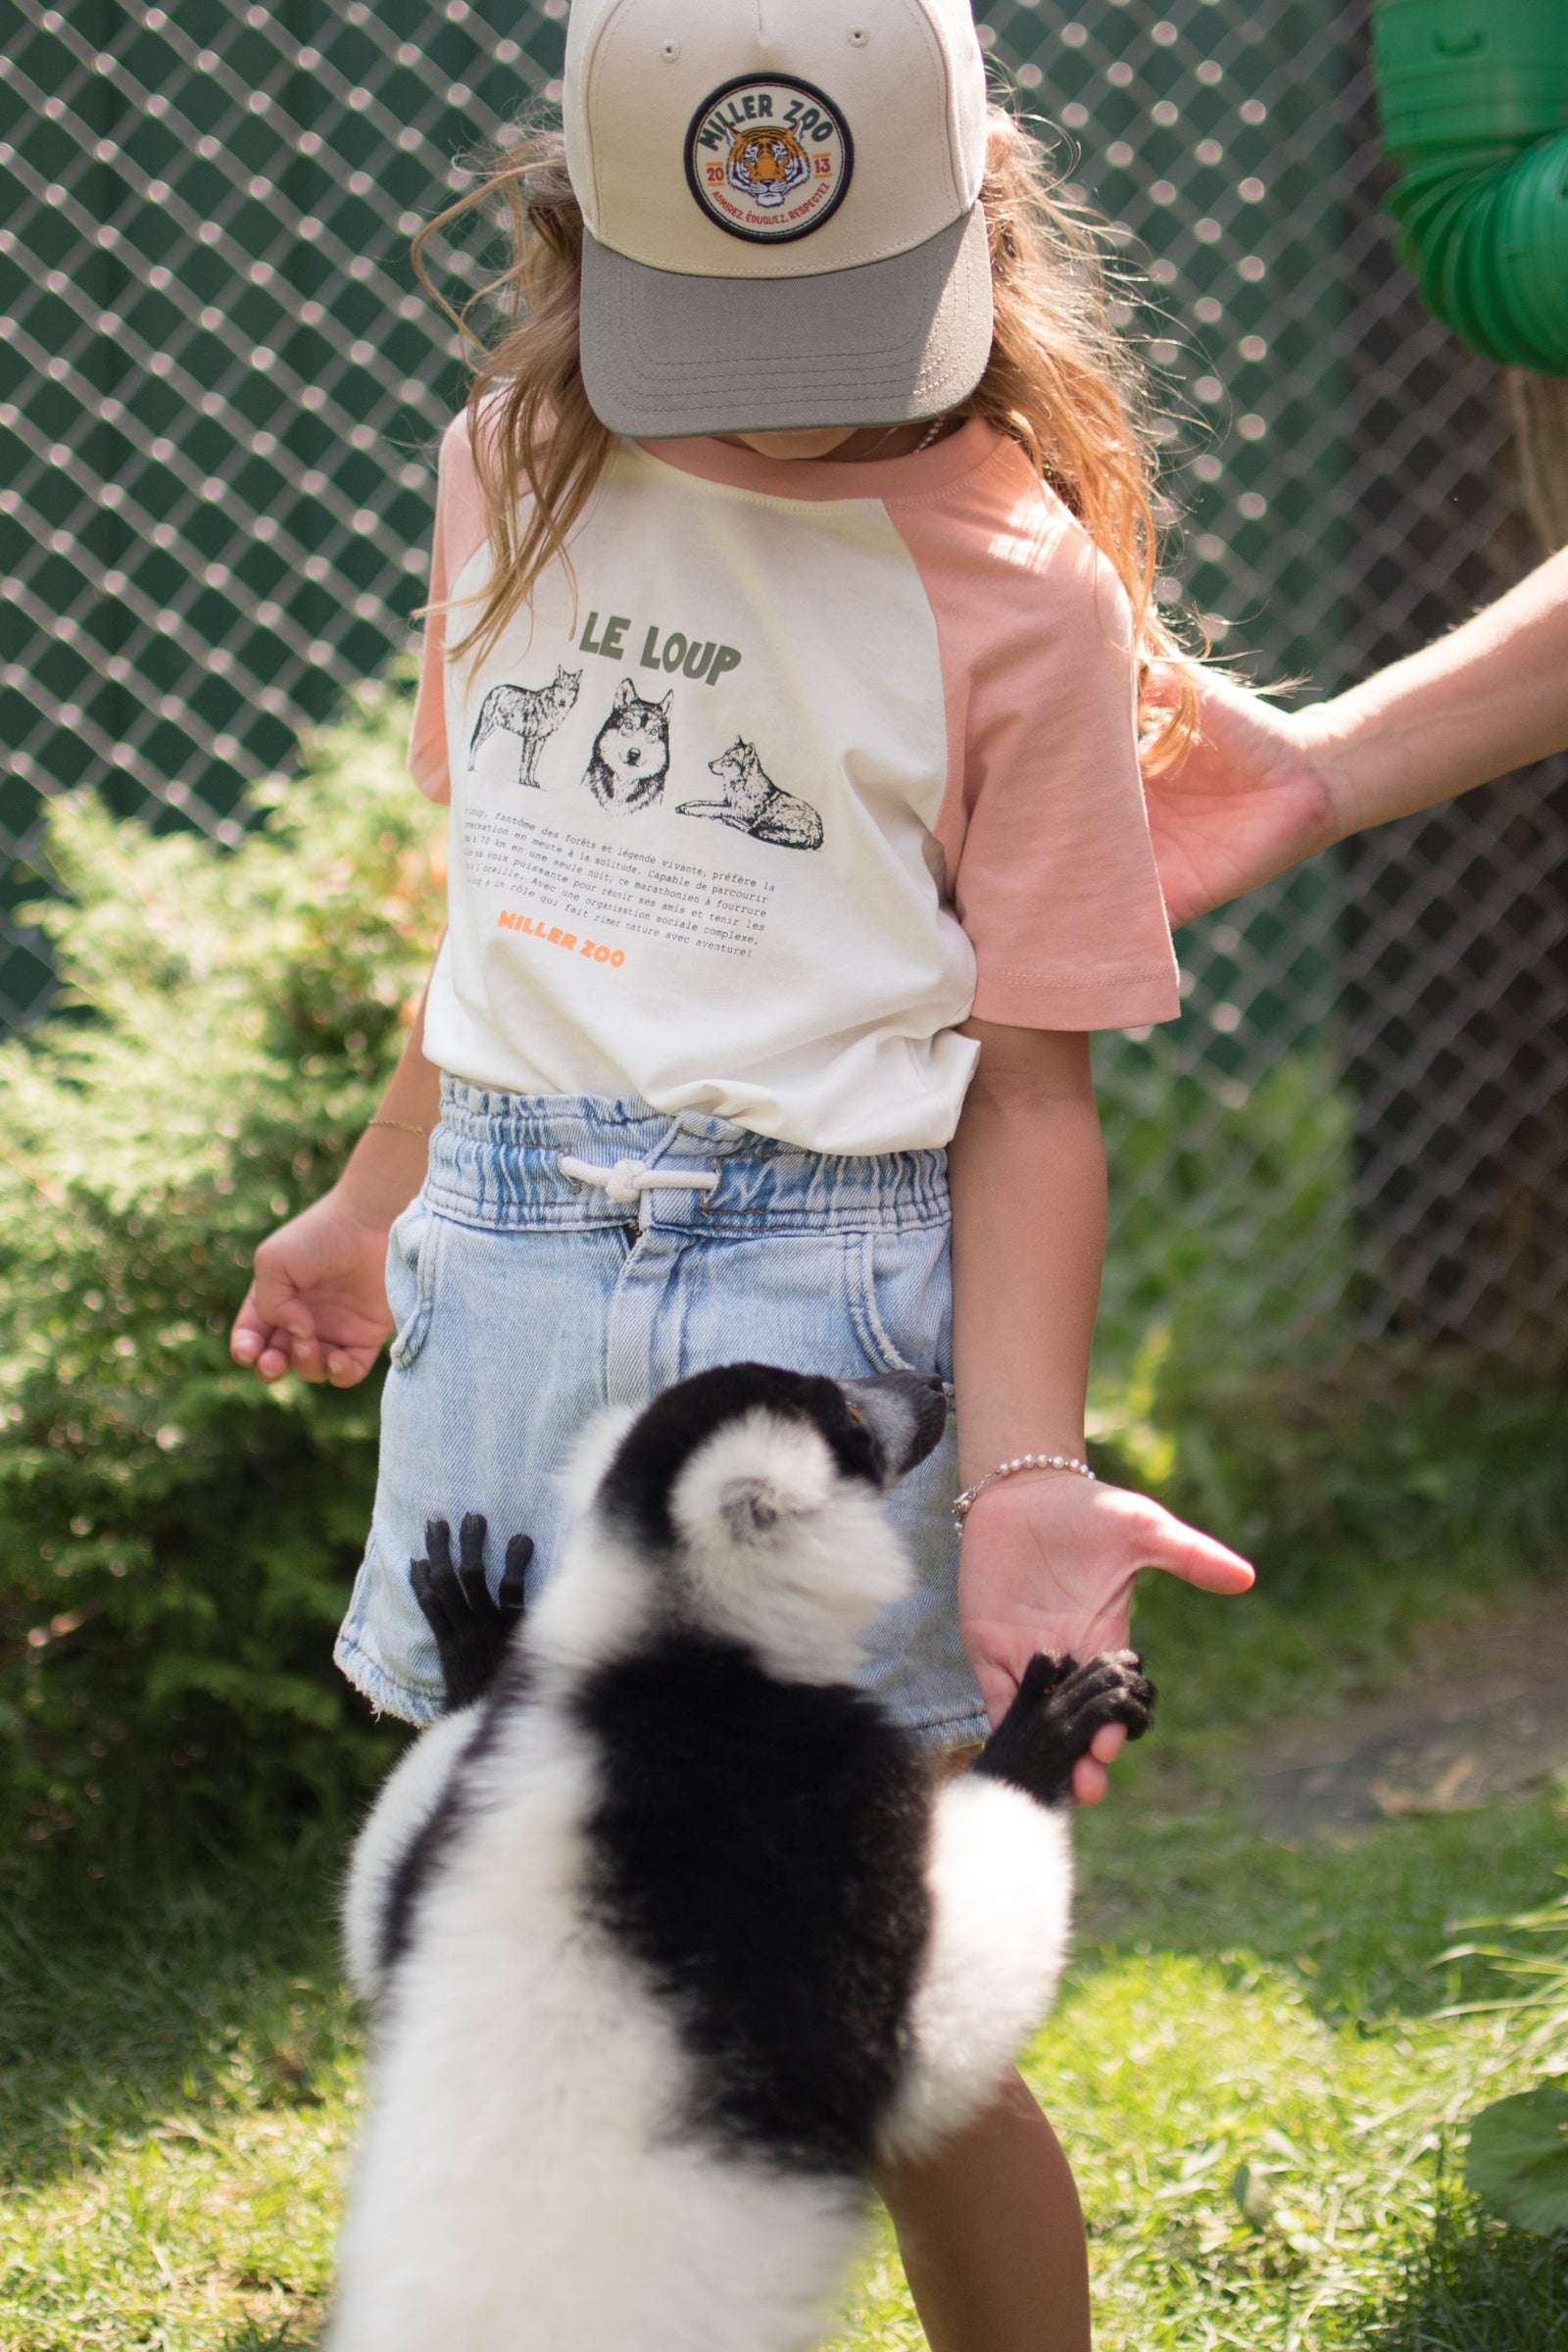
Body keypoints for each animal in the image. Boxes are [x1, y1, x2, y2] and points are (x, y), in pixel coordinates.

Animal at [331, 1363, 1154, 2352]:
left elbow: (376, 1911)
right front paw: (1047, 1736)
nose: (930, 1382)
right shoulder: (825, 1814)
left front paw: (481, 1661)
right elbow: (939, 2026)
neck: (679, 1675)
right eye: (850, 1417)